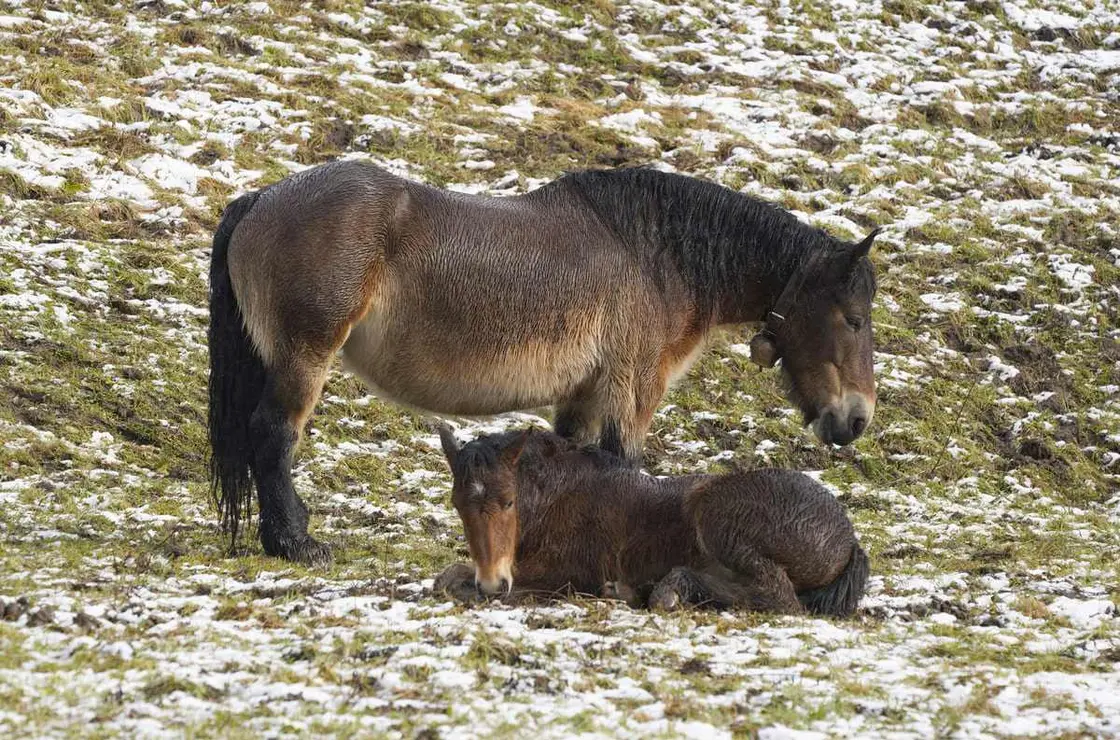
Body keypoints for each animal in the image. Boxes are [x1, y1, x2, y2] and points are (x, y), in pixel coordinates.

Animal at [208, 161, 873, 561]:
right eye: (853, 318)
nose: (856, 419)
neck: (653, 255)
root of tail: (263, 198)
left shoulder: (582, 395)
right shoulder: (630, 389)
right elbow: (623, 464)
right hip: (306, 355)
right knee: (274, 435)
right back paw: (294, 542)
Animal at [432, 423, 869, 613]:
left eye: (508, 502)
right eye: (457, 504)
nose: (492, 582)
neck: (559, 498)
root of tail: (849, 540)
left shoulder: (557, 575)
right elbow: (446, 578)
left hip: (717, 519)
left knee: (779, 598)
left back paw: (665, 590)